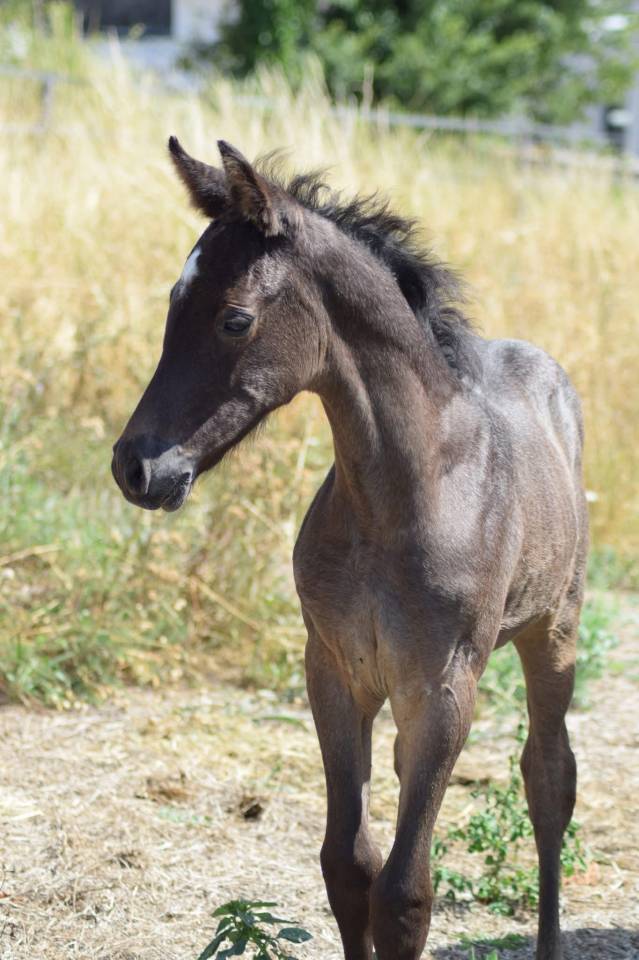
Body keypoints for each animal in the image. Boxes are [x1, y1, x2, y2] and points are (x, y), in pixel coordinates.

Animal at [112, 137, 588, 960]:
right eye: (172, 303)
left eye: (235, 319)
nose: (135, 467)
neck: (397, 501)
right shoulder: (333, 671)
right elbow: (348, 865)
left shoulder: (442, 688)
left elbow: (404, 893)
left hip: (551, 630)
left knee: (548, 778)